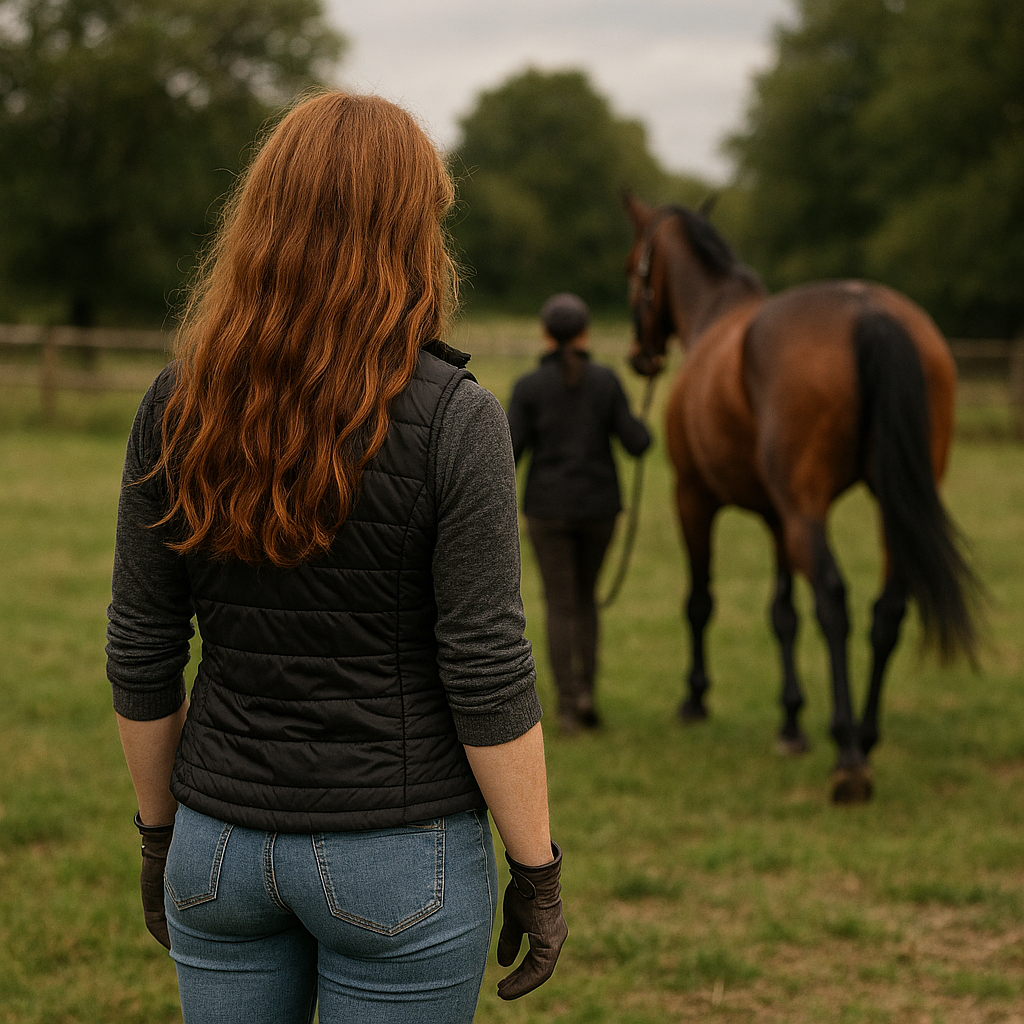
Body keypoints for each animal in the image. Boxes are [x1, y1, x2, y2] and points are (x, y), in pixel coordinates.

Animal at [623, 194, 980, 803]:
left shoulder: (693, 497)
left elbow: (701, 600)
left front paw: (694, 698)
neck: (715, 319)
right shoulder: (775, 516)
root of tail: (868, 311)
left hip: (804, 511)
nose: (639, 357)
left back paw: (848, 759)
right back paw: (866, 735)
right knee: (888, 608)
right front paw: (790, 723)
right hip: (885, 505)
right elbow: (781, 613)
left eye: (634, 270)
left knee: (833, 600)